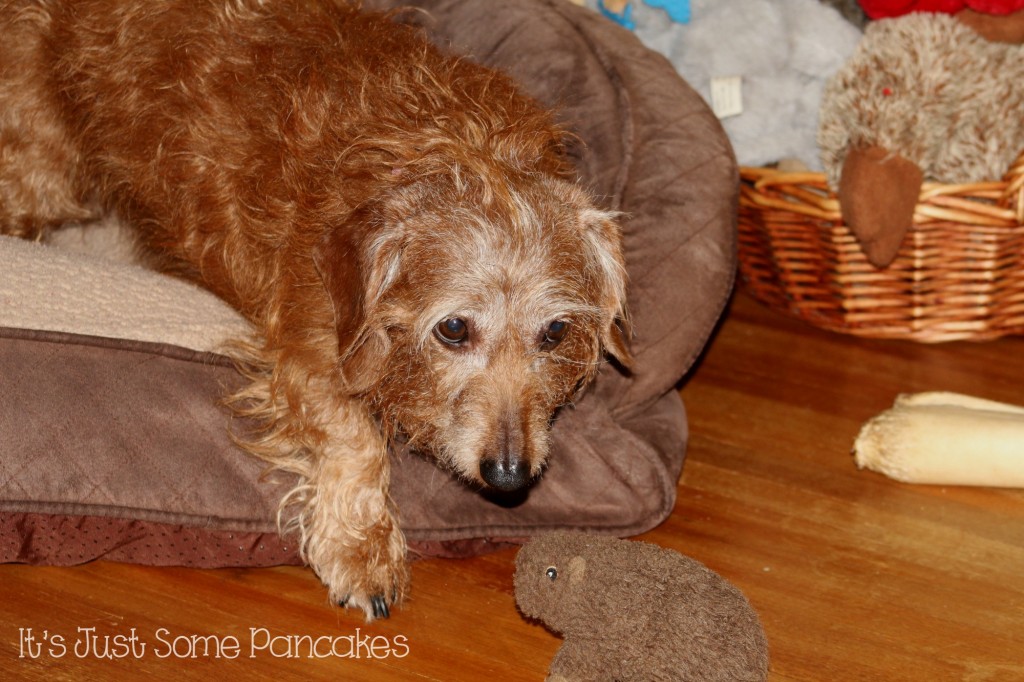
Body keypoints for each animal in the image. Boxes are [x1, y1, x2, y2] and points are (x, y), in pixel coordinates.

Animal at [0, 0, 626, 618]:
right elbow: (357, 439)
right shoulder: (308, 349)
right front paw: (363, 549)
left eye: (555, 332)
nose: (509, 474)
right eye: (453, 329)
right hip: (42, 176)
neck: (446, 146)